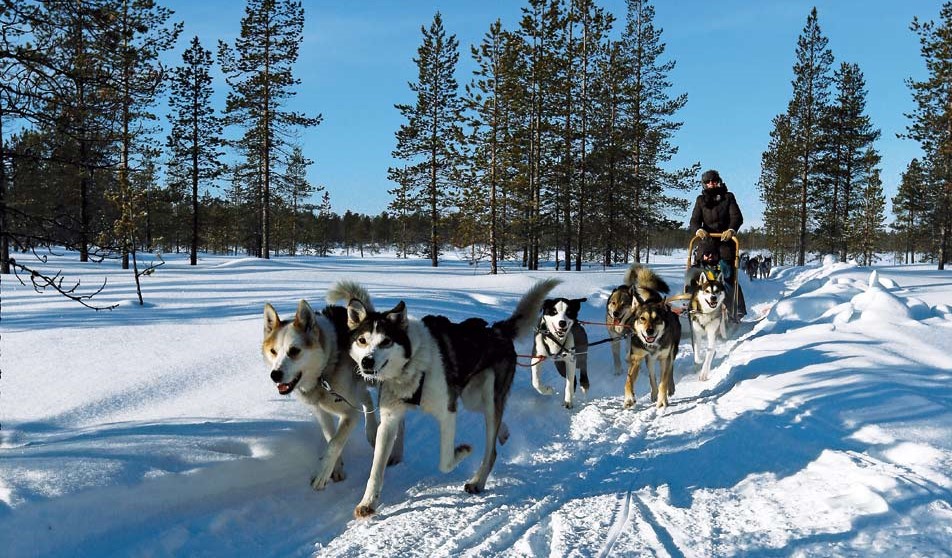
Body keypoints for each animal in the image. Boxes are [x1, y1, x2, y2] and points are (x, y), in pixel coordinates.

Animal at [260, 286, 384, 492]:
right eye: (273, 351)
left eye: (294, 351)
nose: (275, 375)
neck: (324, 371)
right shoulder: (320, 411)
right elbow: (330, 438)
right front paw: (336, 468)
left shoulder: (350, 413)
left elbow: (335, 443)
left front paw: (321, 473)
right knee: (366, 397)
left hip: (371, 376)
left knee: (370, 397)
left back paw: (373, 430)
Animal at [344, 280, 556, 520]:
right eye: (362, 340)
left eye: (386, 341)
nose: (367, 361)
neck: (412, 365)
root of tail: (496, 330)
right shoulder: (389, 420)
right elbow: (376, 469)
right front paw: (368, 503)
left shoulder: (447, 412)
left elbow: (445, 462)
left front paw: (462, 451)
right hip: (472, 397)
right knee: (493, 418)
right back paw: (504, 432)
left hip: (485, 397)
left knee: (491, 449)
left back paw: (478, 481)